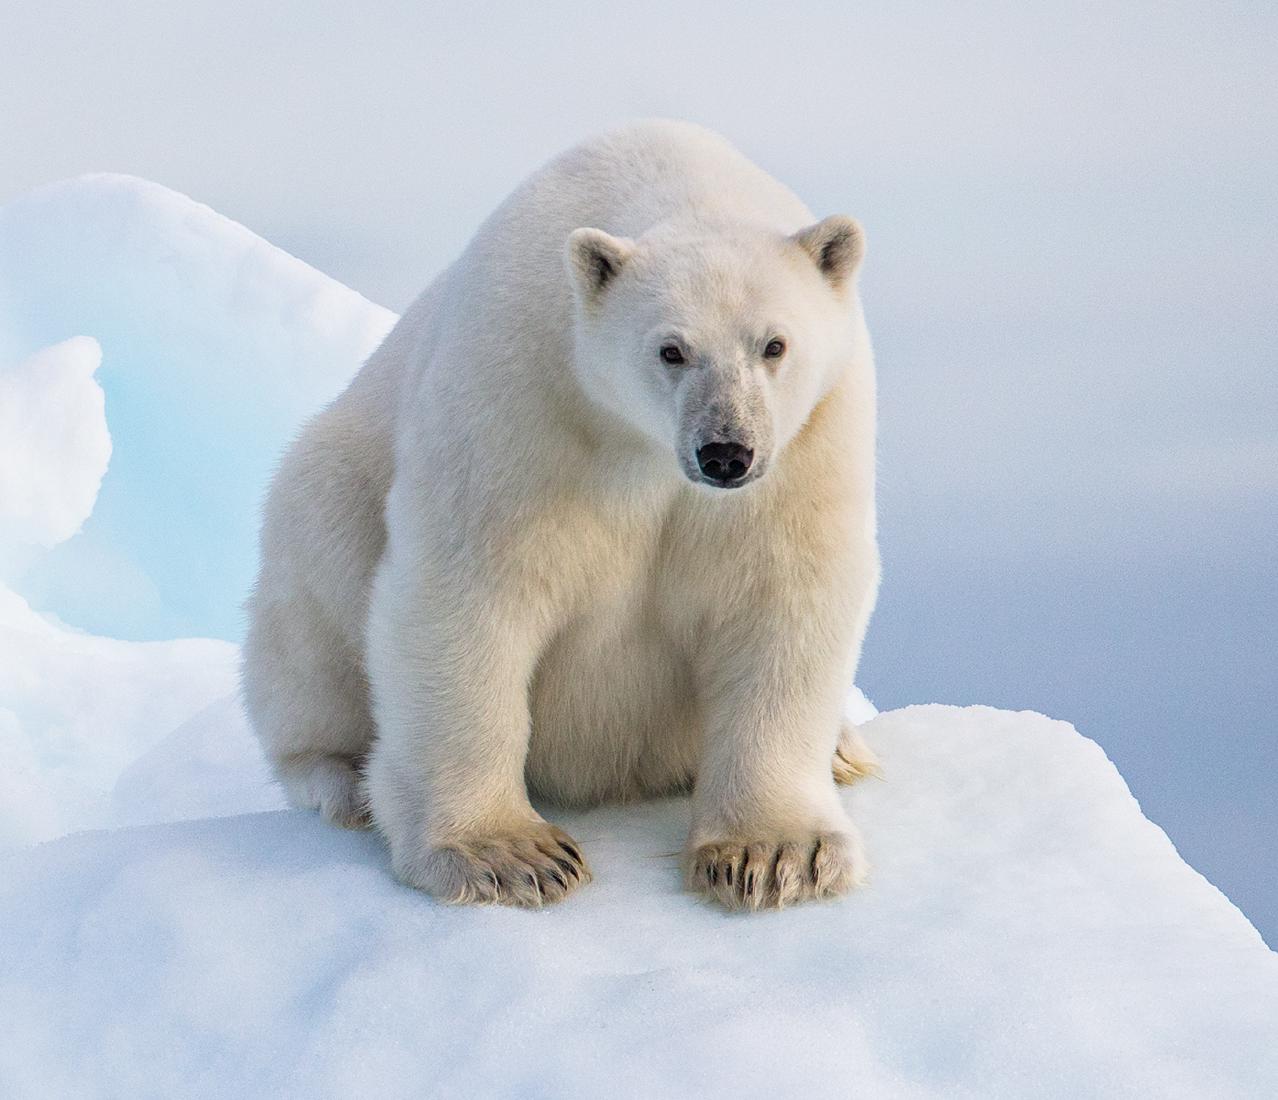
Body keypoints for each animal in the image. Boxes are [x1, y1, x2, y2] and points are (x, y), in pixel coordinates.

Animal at [242, 119, 880, 910]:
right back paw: (343, 780)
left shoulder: (809, 444)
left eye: (774, 344)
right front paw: (509, 854)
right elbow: (472, 592)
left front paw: (775, 854)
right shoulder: (524, 403)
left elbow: (784, 594)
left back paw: (845, 748)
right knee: (314, 615)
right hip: (327, 501)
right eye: (671, 350)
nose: (725, 451)